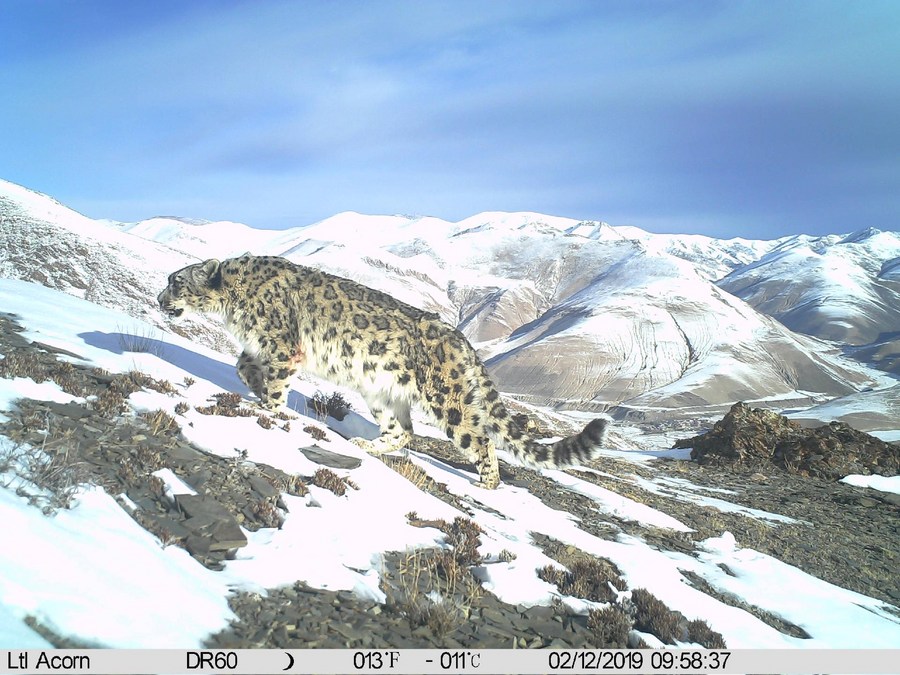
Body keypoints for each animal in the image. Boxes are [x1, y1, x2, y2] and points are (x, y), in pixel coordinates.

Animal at [158, 254, 608, 488]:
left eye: (176, 282)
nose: (160, 300)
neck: (233, 305)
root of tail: (461, 339)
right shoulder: (263, 346)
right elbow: (242, 363)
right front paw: (251, 385)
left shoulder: (284, 346)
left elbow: (275, 383)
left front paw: (268, 407)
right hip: (382, 393)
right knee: (403, 432)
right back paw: (364, 446)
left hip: (449, 401)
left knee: (481, 440)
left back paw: (488, 483)